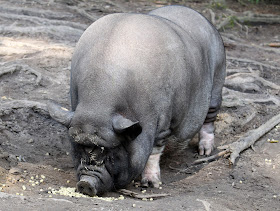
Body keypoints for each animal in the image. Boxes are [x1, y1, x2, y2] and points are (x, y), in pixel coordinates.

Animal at [48, 4, 225, 196]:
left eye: (110, 152)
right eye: (78, 147)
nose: (85, 183)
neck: (98, 105)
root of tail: (202, 19)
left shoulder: (163, 124)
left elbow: (154, 152)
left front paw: (150, 184)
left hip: (217, 81)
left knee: (210, 118)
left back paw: (204, 152)